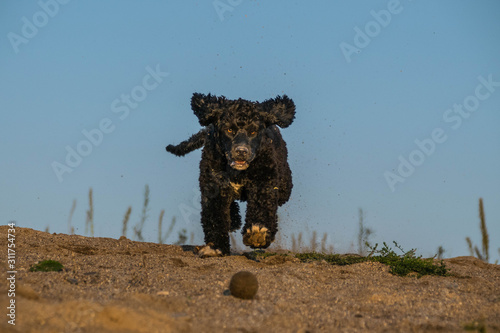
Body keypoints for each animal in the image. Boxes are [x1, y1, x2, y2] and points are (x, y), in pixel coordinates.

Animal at [166, 92, 294, 255]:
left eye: (253, 132)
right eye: (229, 130)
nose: (241, 151)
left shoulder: (264, 182)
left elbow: (262, 206)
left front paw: (258, 232)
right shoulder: (214, 185)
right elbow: (215, 215)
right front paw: (216, 247)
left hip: (284, 185)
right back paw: (233, 220)